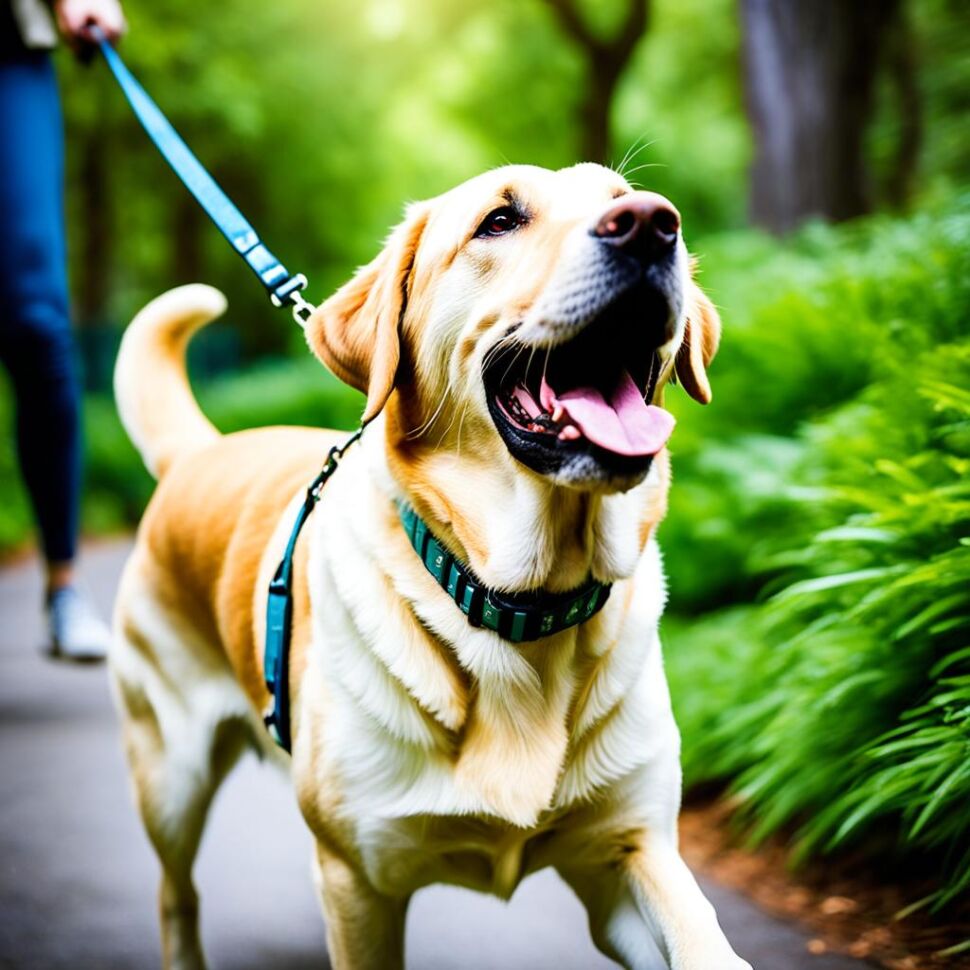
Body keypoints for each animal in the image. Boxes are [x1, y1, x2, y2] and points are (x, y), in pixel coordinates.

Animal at [109, 163, 744, 964]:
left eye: (624, 201)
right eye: (500, 221)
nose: (654, 224)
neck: (518, 605)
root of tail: (201, 452)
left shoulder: (628, 850)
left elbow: (703, 936)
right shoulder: (360, 879)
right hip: (171, 774)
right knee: (176, 892)